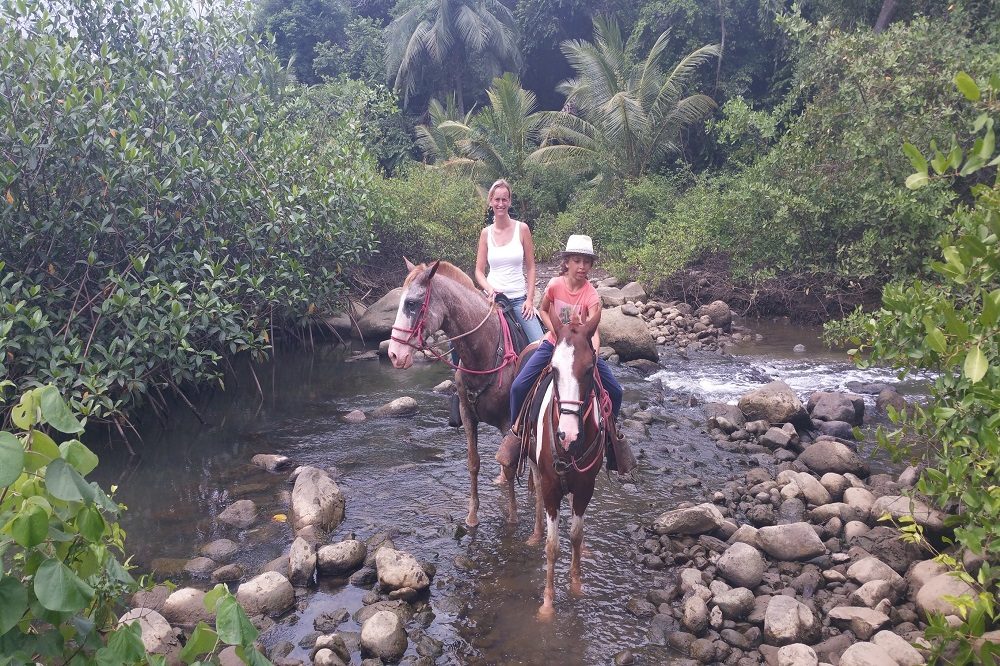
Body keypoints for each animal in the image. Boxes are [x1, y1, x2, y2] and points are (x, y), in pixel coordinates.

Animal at [384, 258, 520, 524]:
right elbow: (473, 463)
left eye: (412, 303)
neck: (485, 353)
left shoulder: (508, 422)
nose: (394, 354)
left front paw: (512, 518)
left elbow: (510, 466)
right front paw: (472, 517)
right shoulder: (468, 416)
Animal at [524, 308, 608, 616]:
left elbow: (575, 536)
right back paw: (535, 533)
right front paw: (548, 603)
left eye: (589, 369)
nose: (567, 435)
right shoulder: (551, 488)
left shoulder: (585, 487)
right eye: (554, 369)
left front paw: (576, 584)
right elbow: (553, 546)